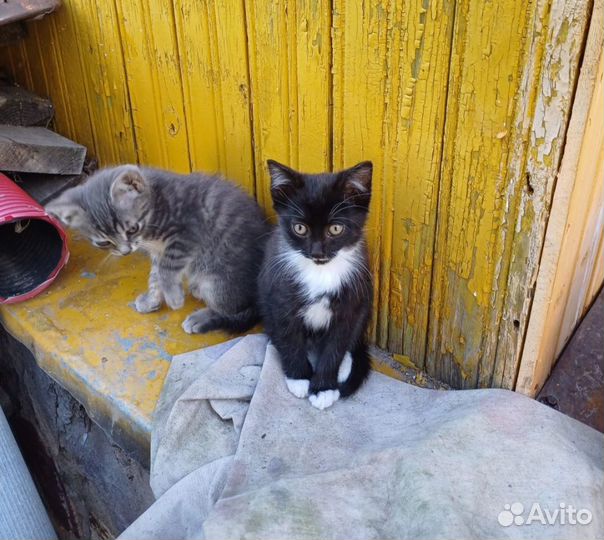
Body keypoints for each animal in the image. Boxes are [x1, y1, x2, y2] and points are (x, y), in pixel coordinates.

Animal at [44, 166, 266, 334]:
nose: (125, 251)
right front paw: (152, 299)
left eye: (132, 229)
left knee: (232, 308)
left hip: (219, 280)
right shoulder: (159, 251)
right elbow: (156, 275)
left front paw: (174, 297)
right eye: (104, 243)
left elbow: (167, 269)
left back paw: (203, 317)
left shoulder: (188, 232)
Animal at [258, 160, 372, 410]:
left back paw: (345, 366)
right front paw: (299, 377)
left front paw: (324, 388)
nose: (317, 252)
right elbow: (289, 336)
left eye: (336, 229)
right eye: (300, 228)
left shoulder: (349, 304)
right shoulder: (280, 296)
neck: (321, 272)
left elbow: (336, 345)